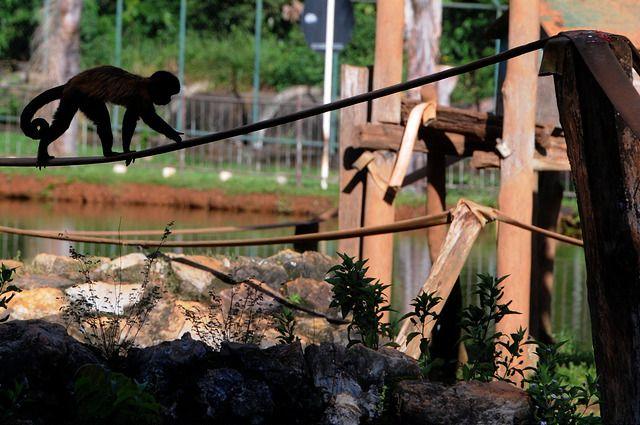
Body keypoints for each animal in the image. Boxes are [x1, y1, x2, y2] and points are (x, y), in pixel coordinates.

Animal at [20, 65, 183, 167]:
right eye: (168, 94)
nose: (169, 100)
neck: (147, 85)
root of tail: (70, 82)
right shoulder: (142, 97)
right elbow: (140, 119)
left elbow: (132, 119)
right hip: (76, 95)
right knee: (64, 123)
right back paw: (43, 148)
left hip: (84, 100)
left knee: (101, 120)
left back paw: (108, 153)